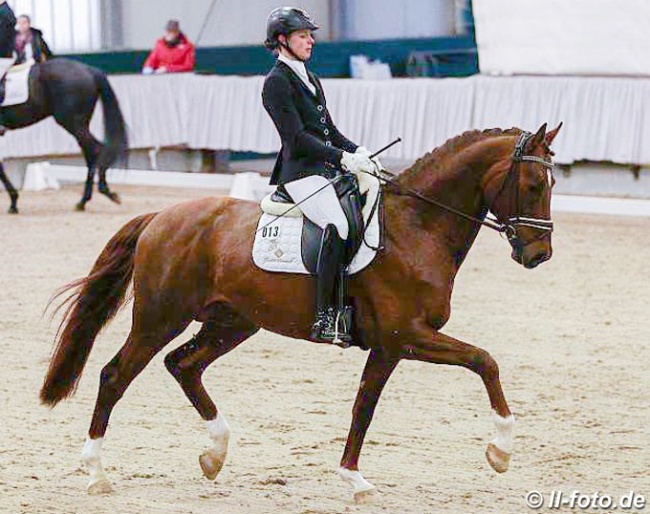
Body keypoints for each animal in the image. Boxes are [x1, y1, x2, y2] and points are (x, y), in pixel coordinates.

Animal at [0, 58, 128, 212]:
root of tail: (90, 70)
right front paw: (14, 201)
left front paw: (13, 203)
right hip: (80, 124)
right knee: (90, 151)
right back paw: (87, 200)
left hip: (72, 122)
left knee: (94, 150)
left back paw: (91, 197)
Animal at [40, 123, 560, 500]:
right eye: (534, 184)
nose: (539, 255)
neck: (417, 227)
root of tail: (161, 218)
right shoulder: (405, 336)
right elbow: (482, 361)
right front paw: (500, 451)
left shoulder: (391, 346)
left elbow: (364, 404)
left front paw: (353, 477)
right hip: (159, 318)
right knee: (115, 375)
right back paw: (96, 473)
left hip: (233, 322)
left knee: (183, 365)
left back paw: (215, 454)